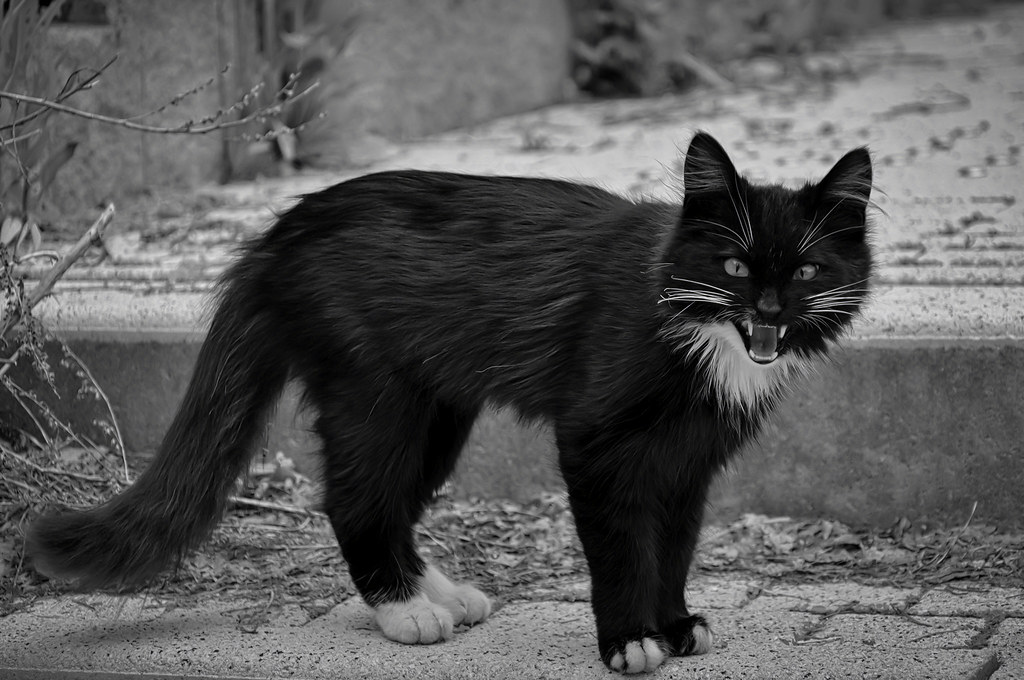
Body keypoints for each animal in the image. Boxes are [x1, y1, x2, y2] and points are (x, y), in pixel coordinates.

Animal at [25, 133, 872, 675]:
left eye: (804, 271)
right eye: (733, 265)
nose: (767, 310)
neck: (687, 318)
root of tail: (279, 231)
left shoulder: (689, 458)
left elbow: (674, 543)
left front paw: (673, 623)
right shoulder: (596, 442)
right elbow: (622, 545)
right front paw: (630, 641)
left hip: (436, 410)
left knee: (389, 500)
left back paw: (433, 591)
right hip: (374, 390)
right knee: (355, 499)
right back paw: (405, 611)